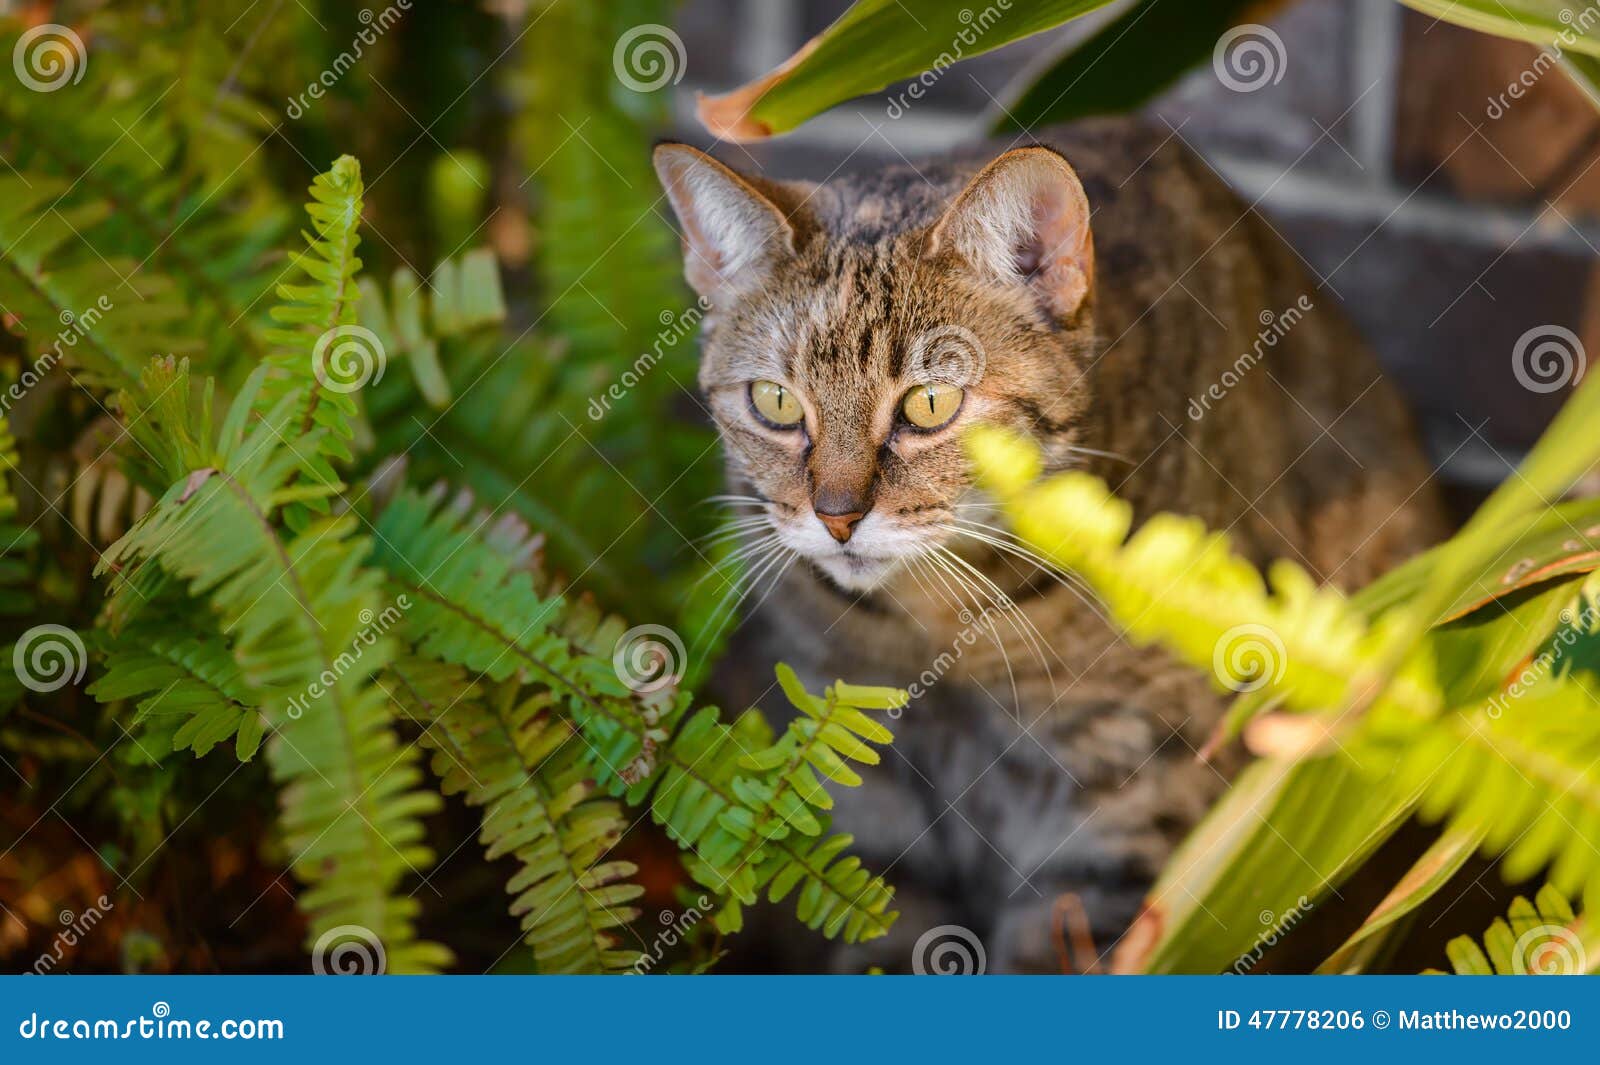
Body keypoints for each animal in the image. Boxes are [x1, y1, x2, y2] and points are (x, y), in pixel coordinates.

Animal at [649, 118, 1452, 972]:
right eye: (774, 401)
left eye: (929, 404)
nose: (836, 515)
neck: (941, 628)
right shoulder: (864, 770)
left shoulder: (1133, 779)